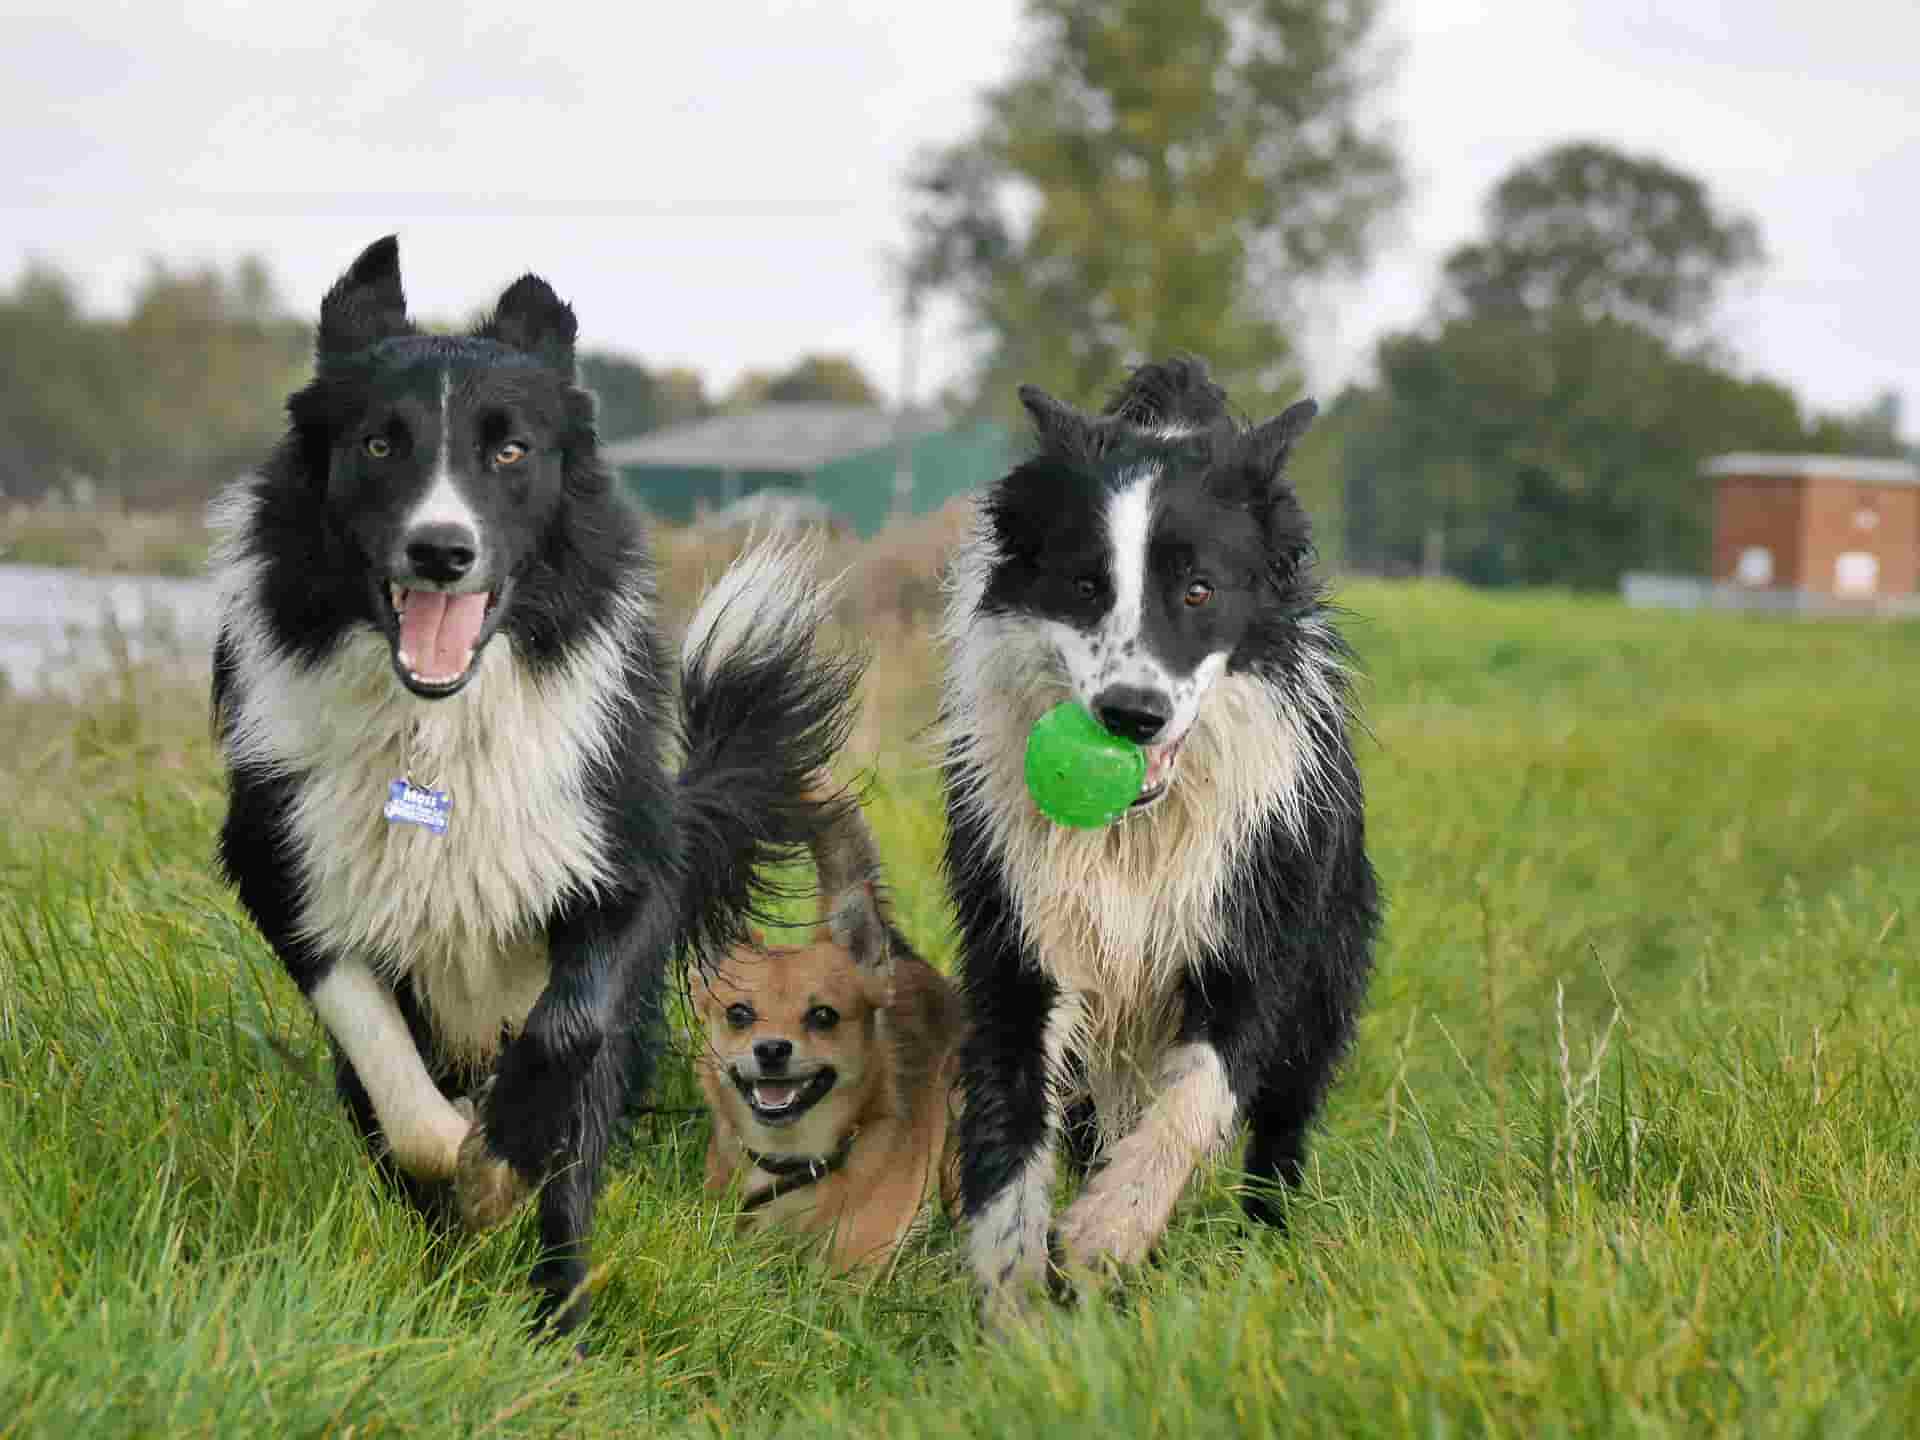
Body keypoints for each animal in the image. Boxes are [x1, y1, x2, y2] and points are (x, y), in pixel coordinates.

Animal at [208, 237, 856, 1344]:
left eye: (509, 452)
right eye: (379, 445)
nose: (440, 550)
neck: (434, 729)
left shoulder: (621, 870)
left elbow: (564, 1038)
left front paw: (507, 1153)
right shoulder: (286, 872)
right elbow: (394, 1084)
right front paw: (463, 1163)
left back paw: (560, 1324)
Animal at [936, 353, 1374, 1320]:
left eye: (1198, 591)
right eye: (1085, 586)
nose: (1131, 716)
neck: (1135, 831)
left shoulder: (1255, 929)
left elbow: (1200, 1093)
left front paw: (1107, 1232)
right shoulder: (1023, 937)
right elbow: (1011, 1121)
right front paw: (1015, 1299)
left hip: (1331, 959)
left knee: (1281, 1121)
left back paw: (1267, 1238)